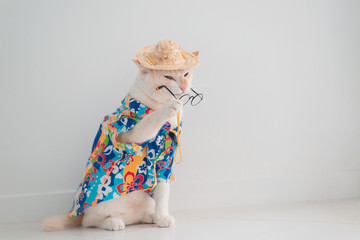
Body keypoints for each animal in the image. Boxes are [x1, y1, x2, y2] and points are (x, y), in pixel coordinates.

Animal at [42, 59, 195, 232]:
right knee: (88, 222)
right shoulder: (132, 134)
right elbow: (150, 121)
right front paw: (168, 108)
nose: (183, 86)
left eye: (186, 74)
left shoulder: (164, 164)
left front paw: (162, 218)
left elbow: (163, 195)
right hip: (101, 205)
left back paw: (150, 217)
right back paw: (113, 222)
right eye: (168, 76)